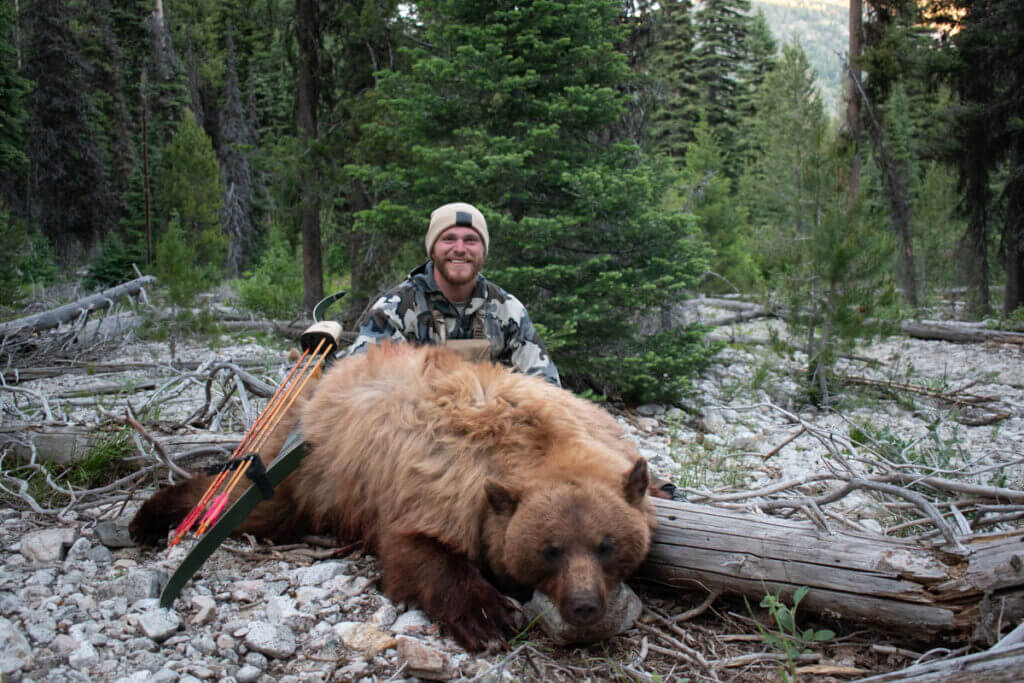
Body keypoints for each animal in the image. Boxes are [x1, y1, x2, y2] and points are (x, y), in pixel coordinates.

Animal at [131, 343, 656, 651]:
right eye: (550, 551)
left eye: (606, 545)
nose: (584, 605)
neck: (532, 442)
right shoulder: (438, 481)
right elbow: (412, 550)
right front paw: (487, 616)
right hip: (308, 467)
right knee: (252, 504)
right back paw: (150, 519)